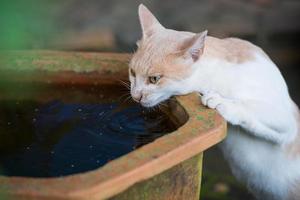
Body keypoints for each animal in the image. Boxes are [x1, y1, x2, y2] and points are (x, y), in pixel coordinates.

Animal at [128, 3, 300, 199]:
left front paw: (224, 103)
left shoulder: (287, 126)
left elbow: (250, 109)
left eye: (154, 79)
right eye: (132, 72)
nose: (136, 95)